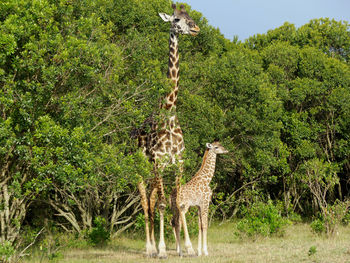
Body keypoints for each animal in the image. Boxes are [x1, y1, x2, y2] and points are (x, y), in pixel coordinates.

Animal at [133, 3, 200, 258]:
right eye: (176, 19)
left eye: (190, 16)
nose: (196, 28)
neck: (170, 110)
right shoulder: (160, 163)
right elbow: (163, 205)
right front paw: (162, 250)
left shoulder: (178, 163)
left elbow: (178, 203)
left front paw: (187, 248)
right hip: (141, 169)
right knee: (145, 201)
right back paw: (149, 248)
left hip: (153, 174)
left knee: (151, 200)